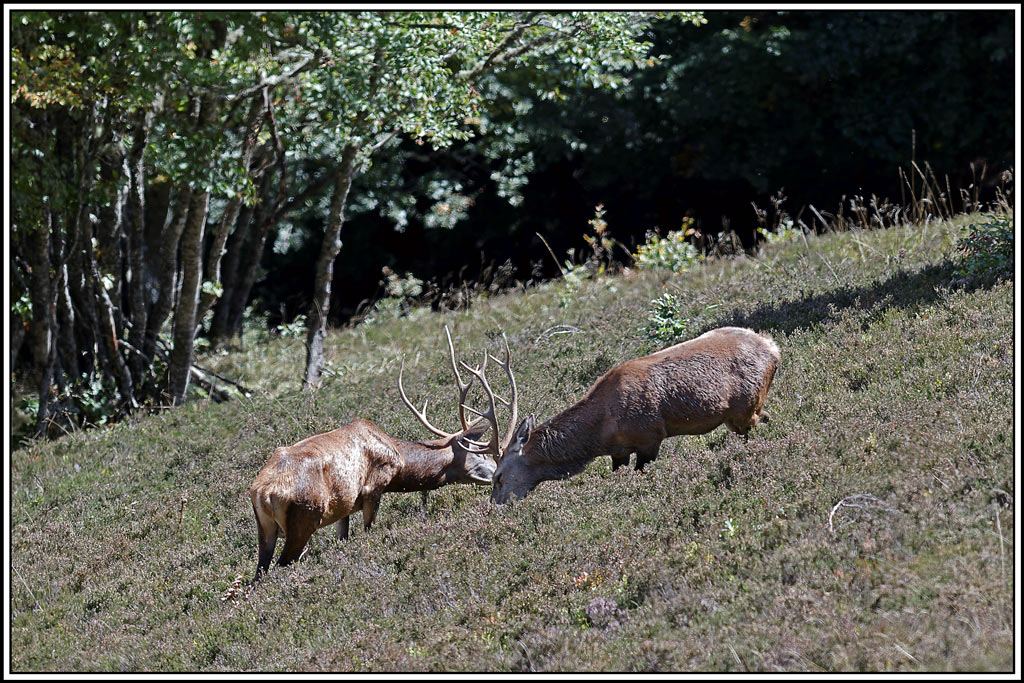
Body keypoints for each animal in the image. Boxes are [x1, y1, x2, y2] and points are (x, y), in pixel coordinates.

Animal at [247, 326, 519, 580]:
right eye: (480, 453)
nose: (497, 475)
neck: (399, 462)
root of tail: (262, 491)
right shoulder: (373, 488)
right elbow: (369, 531)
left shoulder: (344, 506)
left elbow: (343, 538)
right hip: (304, 517)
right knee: (281, 565)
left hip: (265, 529)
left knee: (259, 573)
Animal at [489, 326, 781, 504]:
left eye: (498, 476)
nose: (495, 507)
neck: (602, 432)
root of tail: (773, 348)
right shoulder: (619, 451)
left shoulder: (650, 437)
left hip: (744, 409)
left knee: (759, 424)